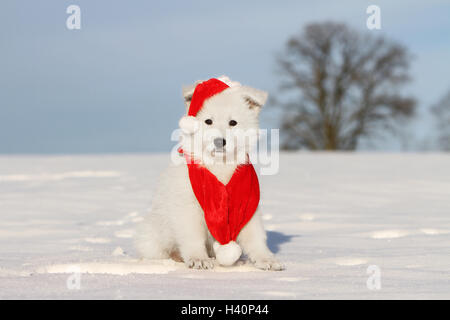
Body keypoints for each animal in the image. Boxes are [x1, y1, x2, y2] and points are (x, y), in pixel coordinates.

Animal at [135, 77, 284, 270]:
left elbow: (255, 237)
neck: (218, 166)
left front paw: (266, 259)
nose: (219, 141)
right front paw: (198, 259)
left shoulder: (247, 205)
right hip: (155, 234)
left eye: (233, 122)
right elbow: (192, 236)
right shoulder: (188, 207)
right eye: (208, 121)